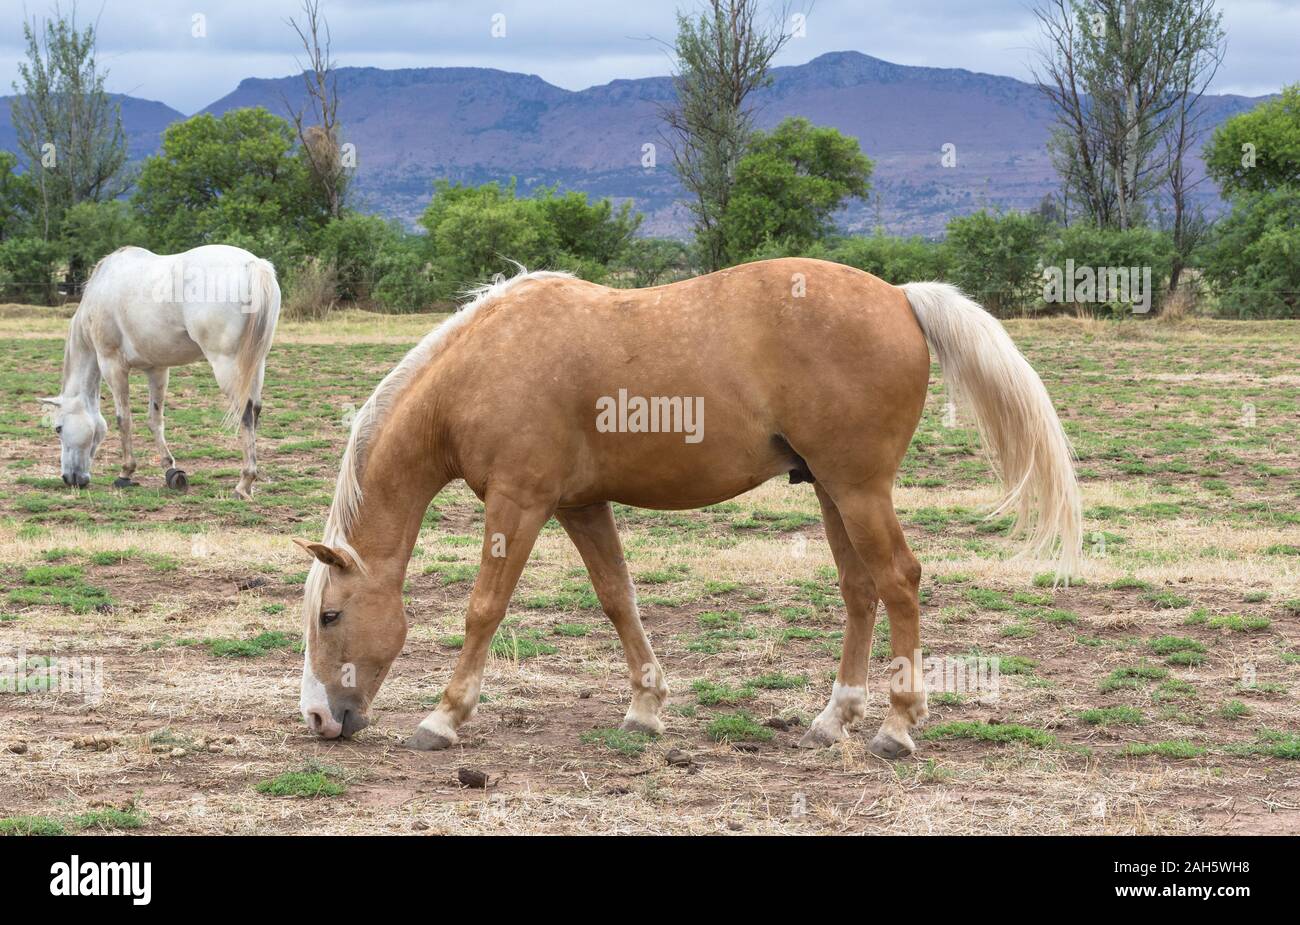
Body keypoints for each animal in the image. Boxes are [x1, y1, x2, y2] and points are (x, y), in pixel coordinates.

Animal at [41, 245, 280, 499]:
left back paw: (243, 483)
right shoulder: (157, 369)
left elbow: (123, 419)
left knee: (245, 413)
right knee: (255, 410)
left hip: (226, 365)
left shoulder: (112, 365)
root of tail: (253, 265)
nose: (70, 479)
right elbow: (155, 420)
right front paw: (171, 470)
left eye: (58, 428)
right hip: (256, 365)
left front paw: (126, 473)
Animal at [294, 258, 1081, 758]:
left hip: (858, 489)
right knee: (860, 591)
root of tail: (899, 296)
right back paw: (834, 718)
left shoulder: (519, 504)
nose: (318, 717)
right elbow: (617, 597)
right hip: (832, 490)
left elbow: (484, 609)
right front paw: (646, 706)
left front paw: (445, 716)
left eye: (330, 616)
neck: (479, 368)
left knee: (900, 581)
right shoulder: (581, 506)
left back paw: (897, 726)